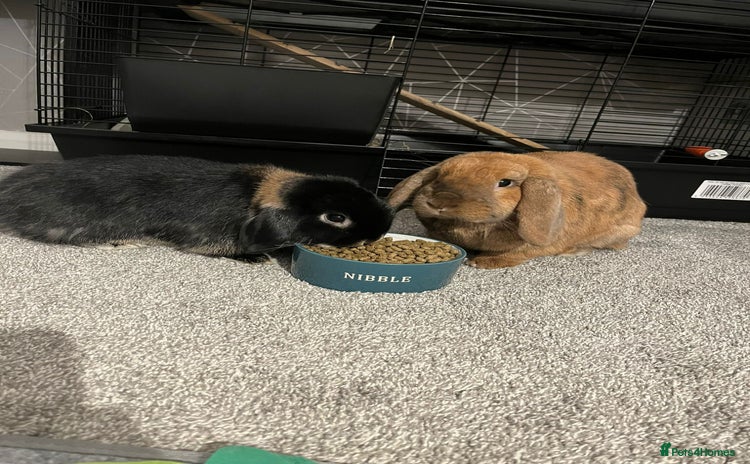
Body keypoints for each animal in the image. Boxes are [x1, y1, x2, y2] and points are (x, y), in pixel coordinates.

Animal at [387, 151, 647, 268]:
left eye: (505, 182)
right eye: (440, 174)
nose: (440, 203)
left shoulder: (532, 248)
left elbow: (514, 255)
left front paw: (480, 263)